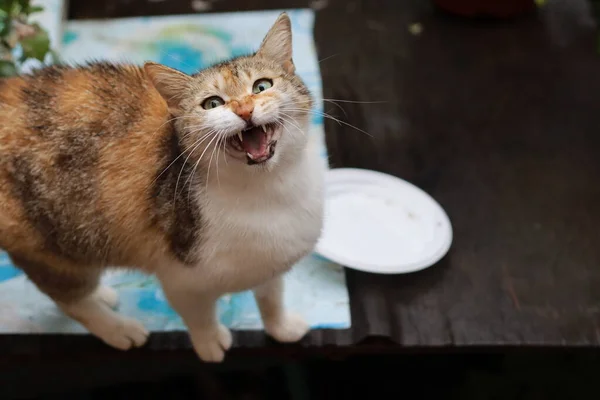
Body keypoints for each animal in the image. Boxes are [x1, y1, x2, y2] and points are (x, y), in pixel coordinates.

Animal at [0, 13, 324, 362]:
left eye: (262, 86)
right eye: (212, 103)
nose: (244, 109)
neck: (267, 190)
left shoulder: (270, 264)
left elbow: (271, 297)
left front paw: (281, 327)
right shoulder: (181, 278)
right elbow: (199, 315)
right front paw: (210, 343)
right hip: (47, 242)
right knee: (70, 298)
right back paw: (117, 328)